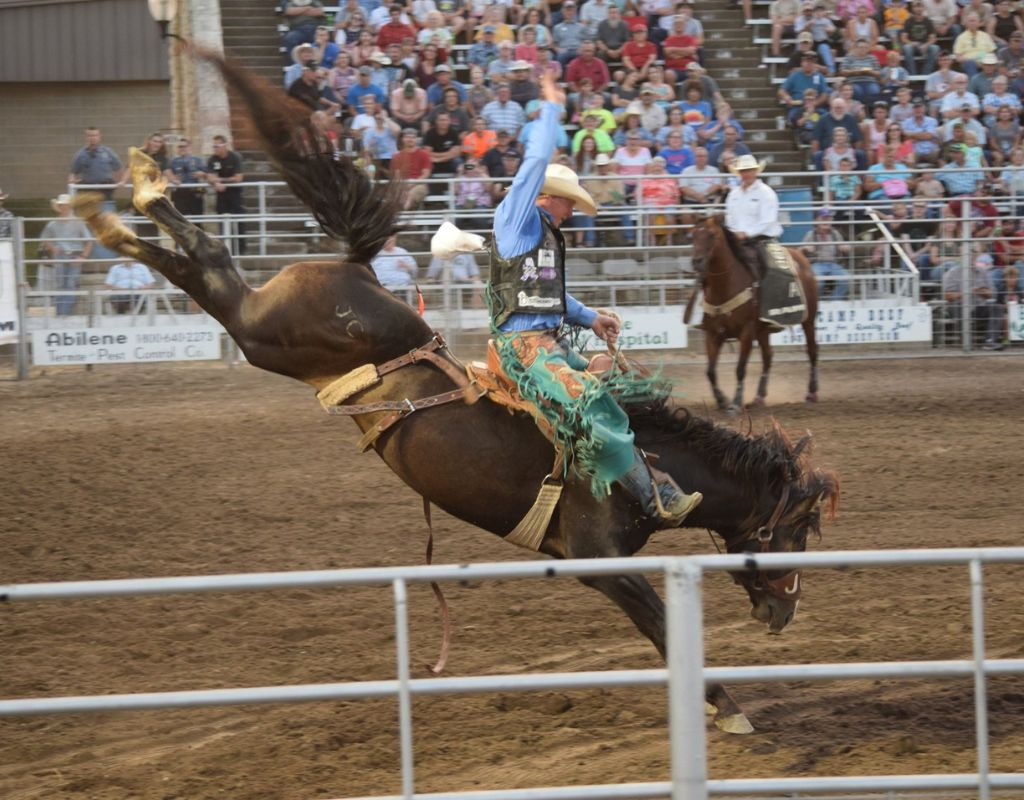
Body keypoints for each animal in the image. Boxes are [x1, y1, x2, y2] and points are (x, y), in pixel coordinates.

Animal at [688, 215, 823, 409]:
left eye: (712, 235)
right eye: (692, 235)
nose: (697, 262)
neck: (727, 285)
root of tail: (802, 258)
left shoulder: (747, 331)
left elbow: (740, 368)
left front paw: (736, 403)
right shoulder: (713, 333)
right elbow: (710, 371)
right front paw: (722, 400)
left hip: (808, 319)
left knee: (812, 349)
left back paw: (812, 392)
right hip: (763, 330)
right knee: (768, 356)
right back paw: (759, 396)